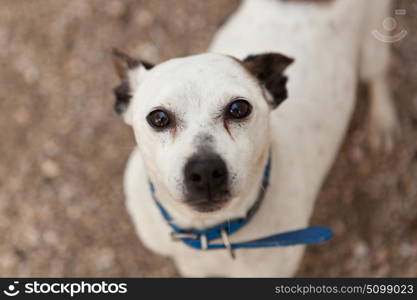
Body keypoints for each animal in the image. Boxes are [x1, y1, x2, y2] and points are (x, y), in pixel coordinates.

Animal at [113, 0, 396, 276]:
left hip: (372, 42)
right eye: (159, 118)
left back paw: (382, 121)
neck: (211, 234)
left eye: (239, 108)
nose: (205, 171)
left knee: (377, 76)